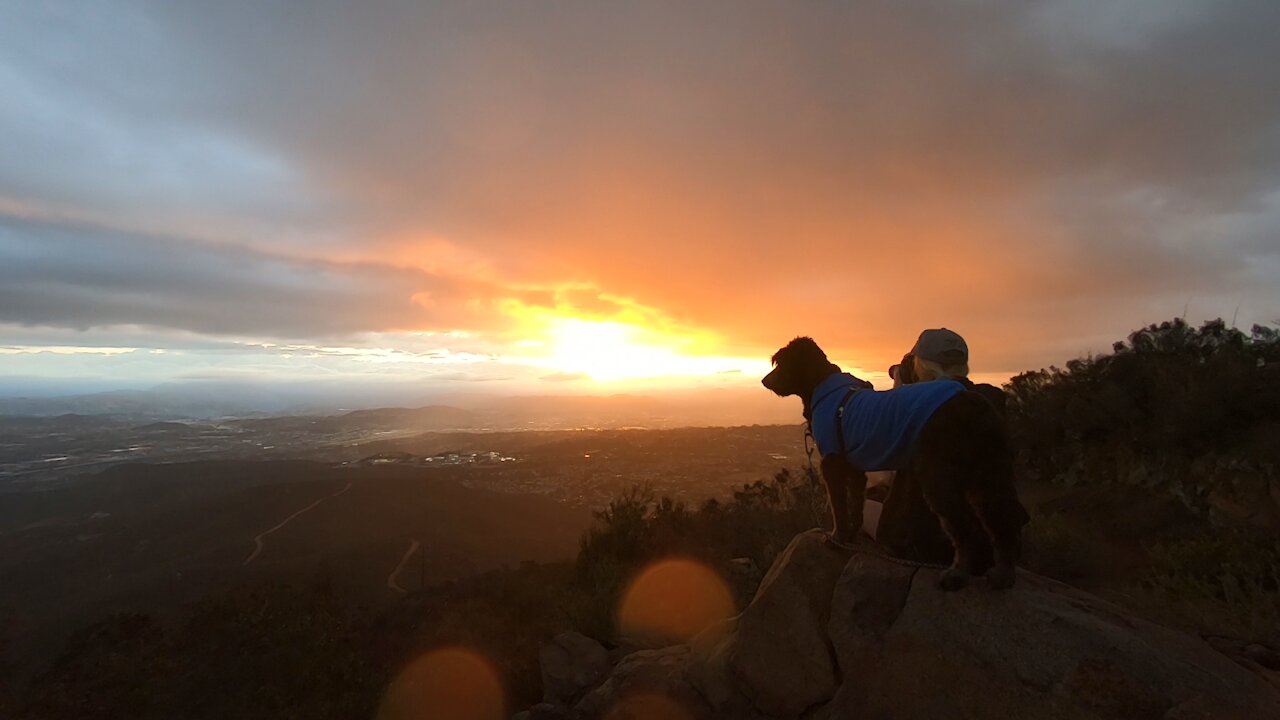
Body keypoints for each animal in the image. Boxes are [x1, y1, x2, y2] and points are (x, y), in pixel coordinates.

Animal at [762, 335, 1024, 589]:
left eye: (781, 363)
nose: (765, 381)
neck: (821, 386)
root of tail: (973, 404)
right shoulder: (854, 468)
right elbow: (855, 503)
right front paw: (851, 535)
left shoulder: (832, 463)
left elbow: (838, 506)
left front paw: (837, 538)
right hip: (988, 471)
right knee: (1003, 518)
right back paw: (1003, 574)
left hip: (938, 474)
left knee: (965, 526)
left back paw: (957, 574)